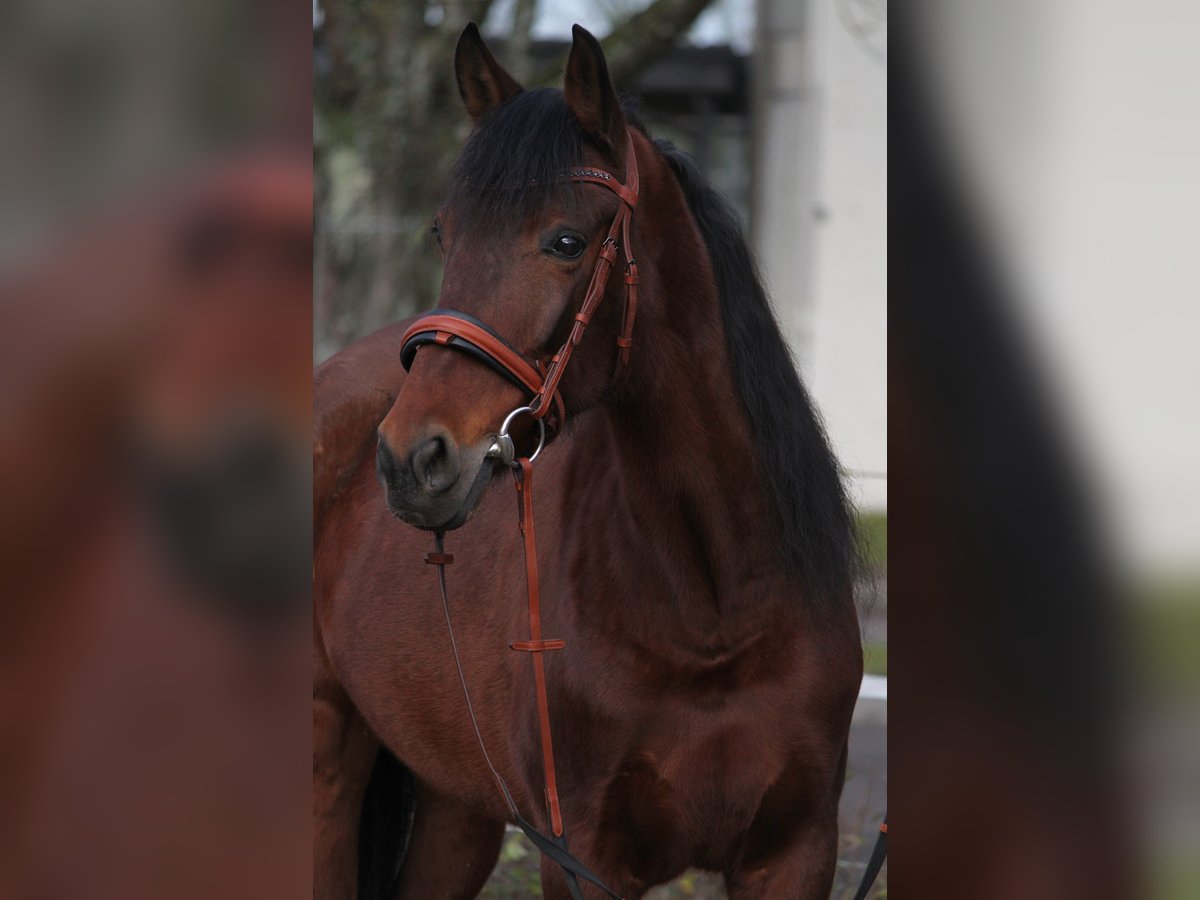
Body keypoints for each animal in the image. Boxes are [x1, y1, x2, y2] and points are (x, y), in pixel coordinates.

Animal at [314, 24, 864, 897]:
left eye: (566, 241)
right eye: (444, 232)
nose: (410, 459)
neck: (717, 608)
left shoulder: (796, 851)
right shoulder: (583, 856)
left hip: (458, 808)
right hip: (328, 770)